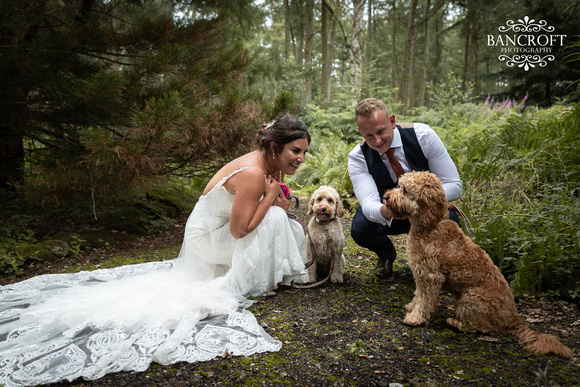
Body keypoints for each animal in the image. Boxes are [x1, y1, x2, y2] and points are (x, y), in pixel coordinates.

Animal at [382, 171, 572, 360]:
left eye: (405, 190)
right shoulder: (421, 274)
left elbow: (425, 300)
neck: (431, 226)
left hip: (468, 300)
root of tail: (514, 319)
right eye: (399, 185)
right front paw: (412, 306)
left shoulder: (431, 276)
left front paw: (415, 318)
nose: (385, 197)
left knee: (487, 329)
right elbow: (418, 294)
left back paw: (455, 323)